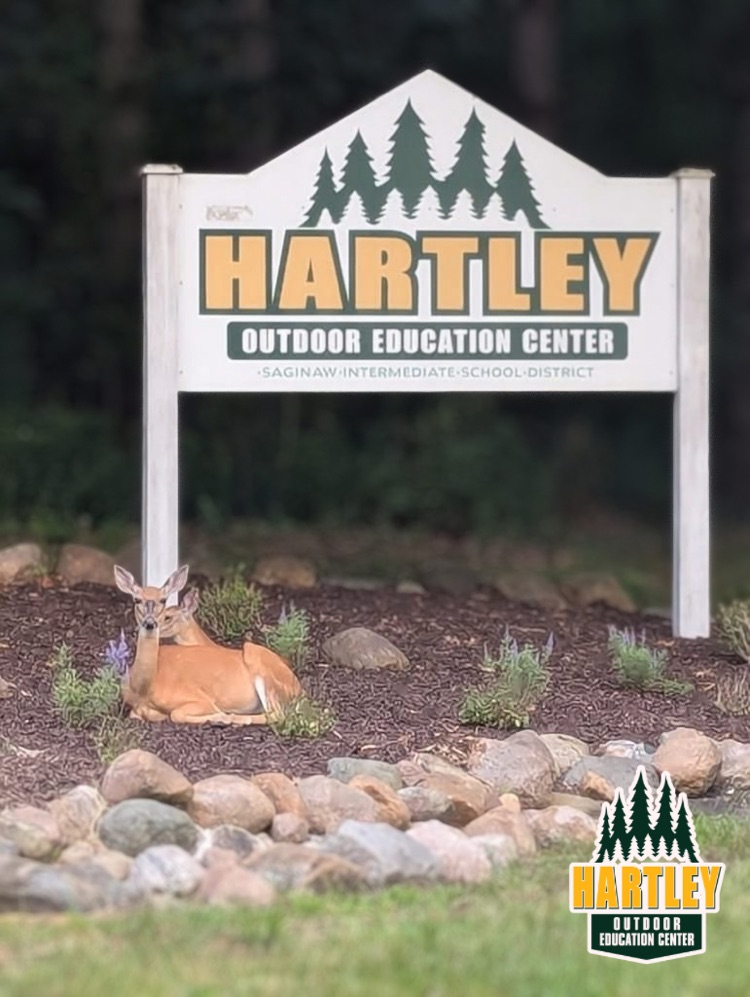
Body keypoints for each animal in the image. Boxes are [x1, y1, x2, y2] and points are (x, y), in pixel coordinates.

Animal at [113, 564, 302, 725]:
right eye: (137, 600)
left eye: (163, 600)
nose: (150, 623)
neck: (143, 688)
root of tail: (299, 688)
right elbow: (138, 713)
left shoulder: (200, 699)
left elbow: (176, 714)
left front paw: (221, 717)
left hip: (259, 662)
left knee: (277, 714)